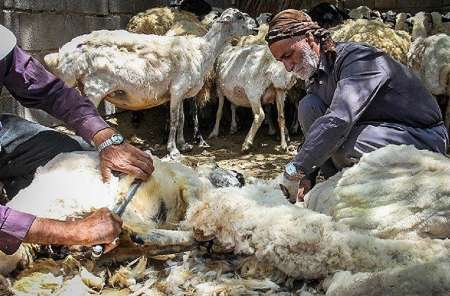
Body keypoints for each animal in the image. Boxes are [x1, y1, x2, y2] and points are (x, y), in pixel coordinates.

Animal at [45, 8, 258, 157]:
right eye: (239, 16)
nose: (255, 26)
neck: (202, 50)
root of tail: (63, 55)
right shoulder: (178, 88)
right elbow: (174, 120)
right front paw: (173, 150)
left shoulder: (179, 92)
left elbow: (181, 119)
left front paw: (183, 144)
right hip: (94, 88)